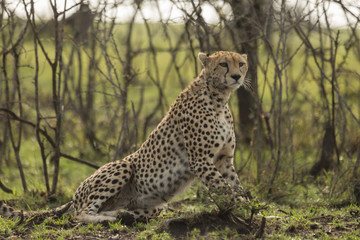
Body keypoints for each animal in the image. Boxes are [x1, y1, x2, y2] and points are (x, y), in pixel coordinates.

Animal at [0, 50, 249, 223]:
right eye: (223, 64)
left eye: (241, 63)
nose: (237, 76)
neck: (219, 98)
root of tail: (73, 197)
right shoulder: (201, 160)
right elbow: (224, 187)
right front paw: (243, 208)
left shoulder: (224, 159)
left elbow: (235, 184)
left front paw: (248, 206)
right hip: (122, 166)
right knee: (81, 214)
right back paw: (106, 218)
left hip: (158, 204)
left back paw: (124, 214)